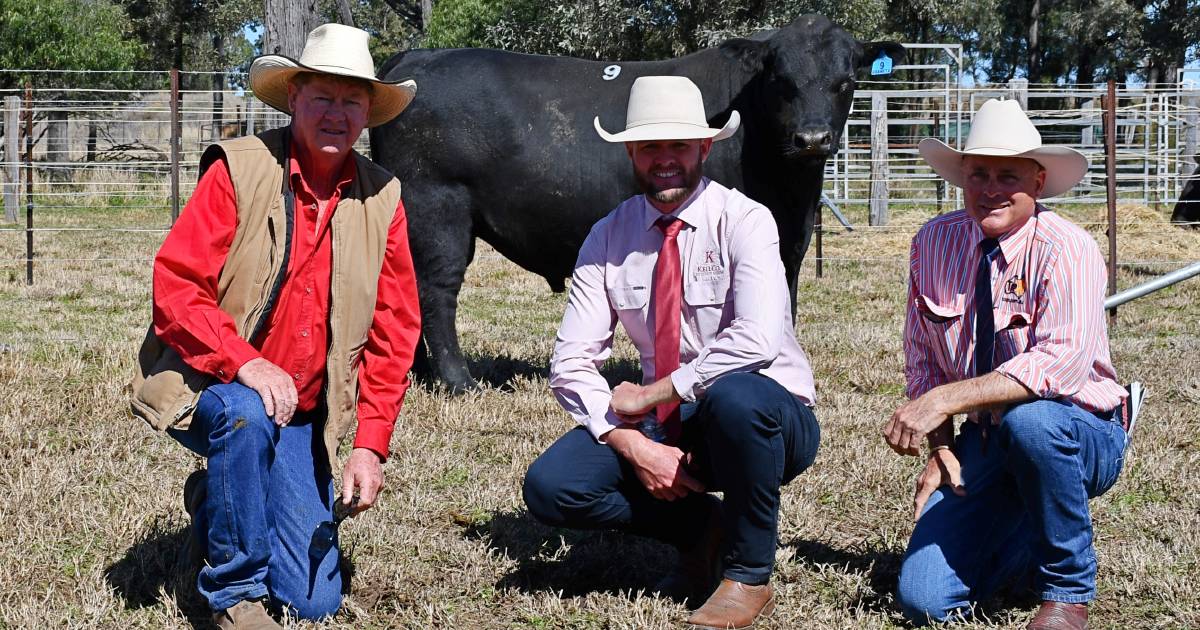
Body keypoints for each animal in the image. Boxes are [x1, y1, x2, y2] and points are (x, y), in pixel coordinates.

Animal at [369, 14, 902, 391]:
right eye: (781, 82)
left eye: (845, 82)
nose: (812, 139)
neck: (792, 194)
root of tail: (415, 59)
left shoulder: (789, 240)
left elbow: (782, 299)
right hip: (438, 209)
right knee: (436, 291)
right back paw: (457, 381)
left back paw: (417, 375)